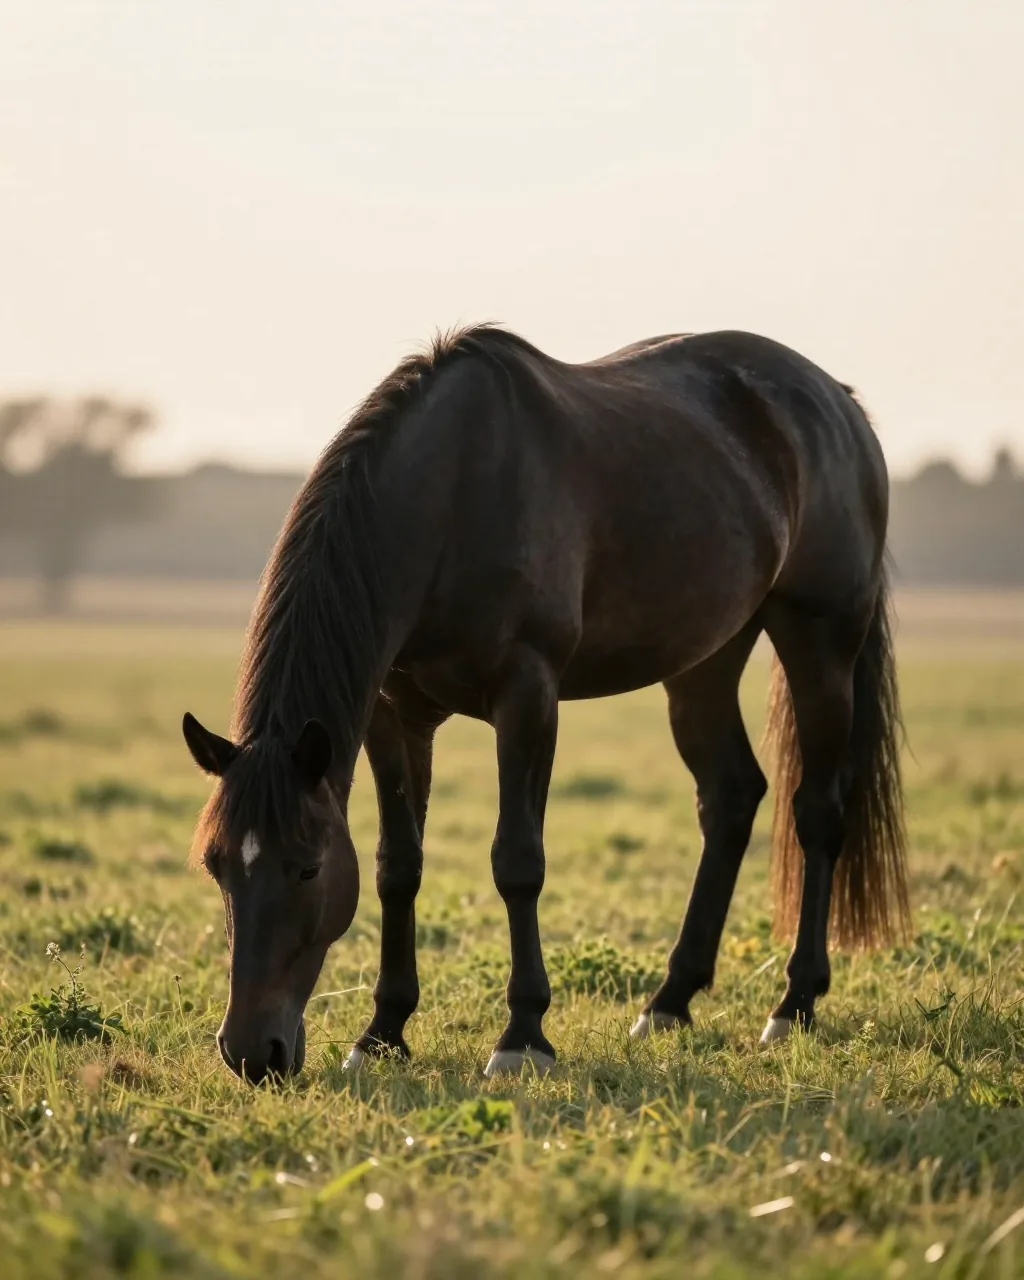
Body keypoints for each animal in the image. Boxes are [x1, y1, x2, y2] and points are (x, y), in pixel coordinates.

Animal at [182, 324, 909, 1085]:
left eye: (308, 867)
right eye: (216, 864)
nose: (250, 1052)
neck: (451, 498)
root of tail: (837, 401)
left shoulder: (528, 696)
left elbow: (517, 861)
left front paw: (523, 1035)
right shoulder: (394, 716)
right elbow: (397, 867)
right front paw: (382, 1032)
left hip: (821, 642)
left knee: (818, 814)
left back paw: (794, 1004)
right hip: (705, 662)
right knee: (730, 797)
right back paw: (669, 1002)